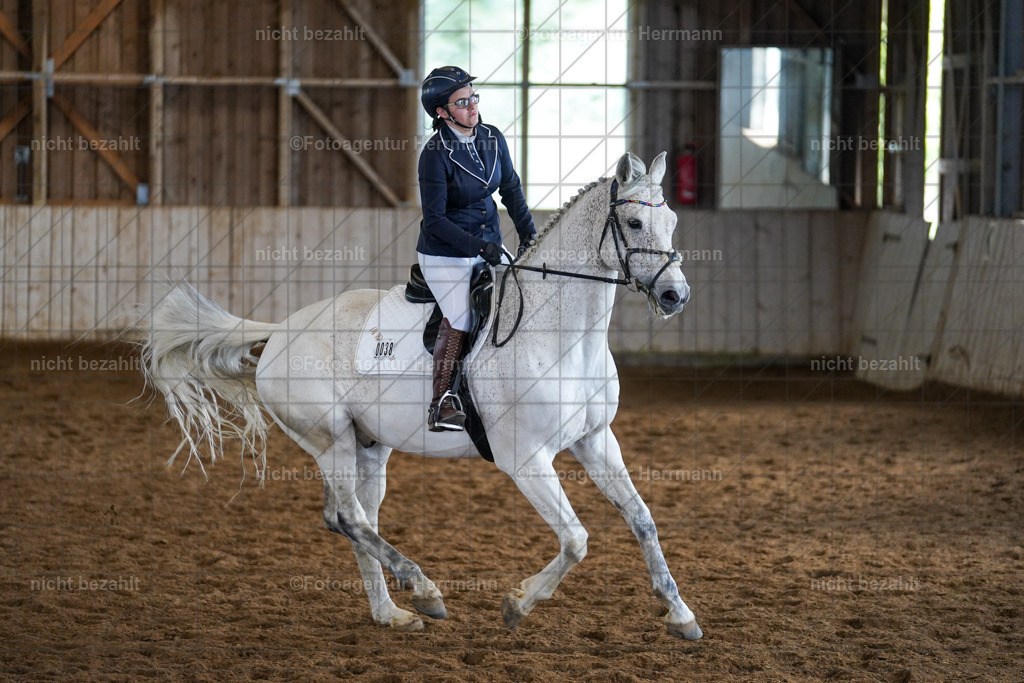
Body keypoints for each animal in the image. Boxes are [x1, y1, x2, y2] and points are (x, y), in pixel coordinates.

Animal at [140, 151, 701, 639]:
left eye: (673, 221)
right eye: (634, 224)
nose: (676, 296)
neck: (561, 338)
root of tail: (281, 331)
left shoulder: (596, 440)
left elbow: (643, 520)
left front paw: (680, 615)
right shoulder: (526, 460)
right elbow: (576, 539)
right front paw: (518, 603)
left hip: (370, 448)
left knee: (354, 520)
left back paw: (391, 613)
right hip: (330, 441)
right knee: (349, 518)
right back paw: (424, 590)